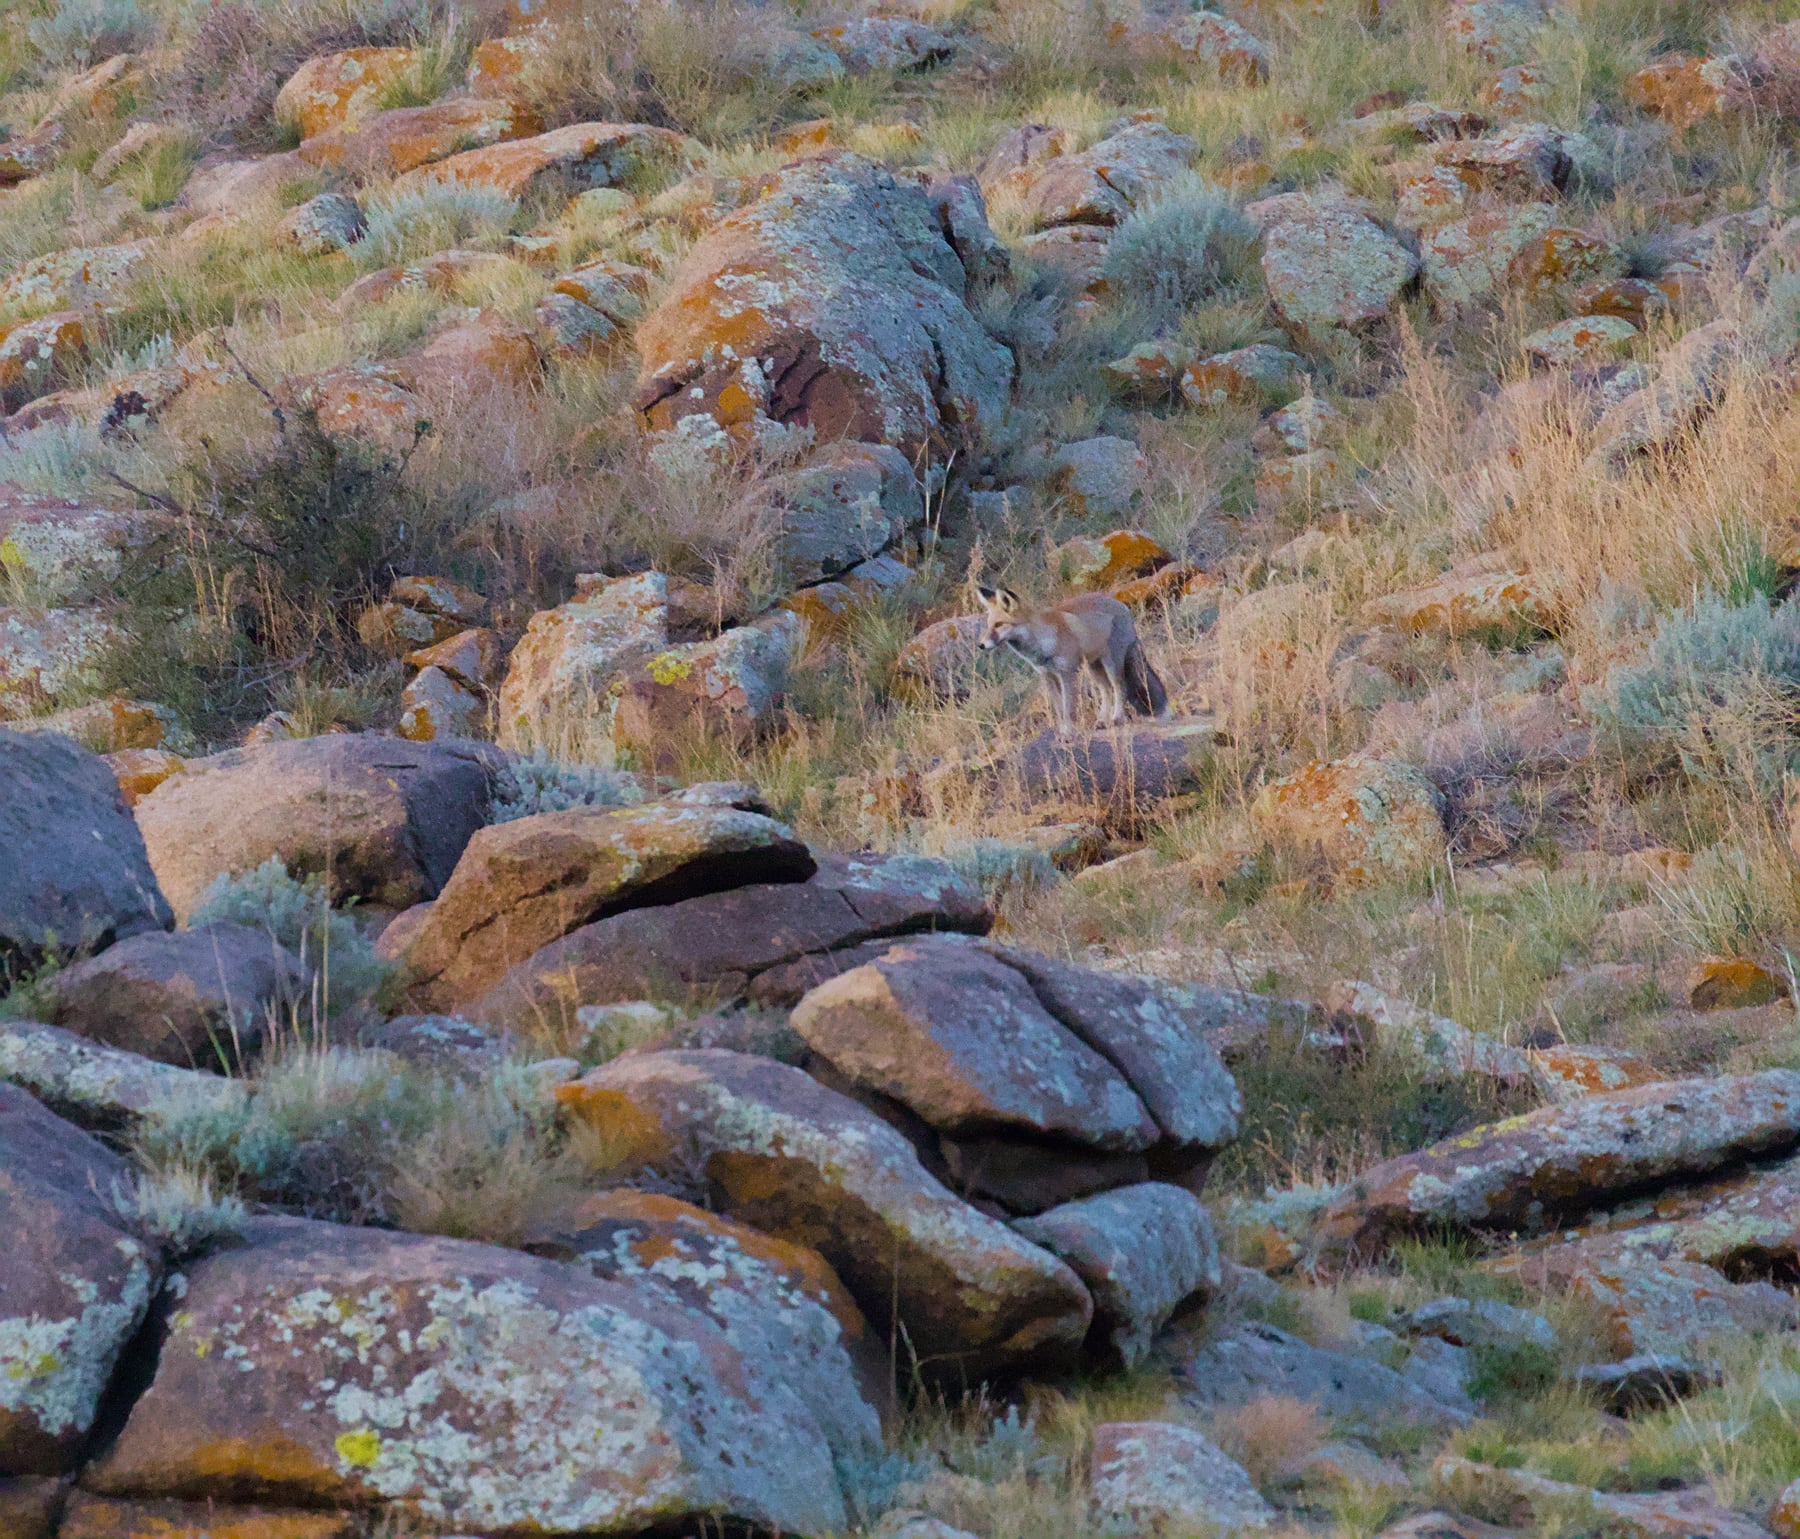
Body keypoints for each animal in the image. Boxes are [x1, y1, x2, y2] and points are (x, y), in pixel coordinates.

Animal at [975, 585, 1169, 734]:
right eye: (989, 625)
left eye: (999, 625)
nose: (981, 645)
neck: (1042, 643)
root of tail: (1122, 605)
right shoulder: (1048, 676)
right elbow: (1060, 710)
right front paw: (1063, 732)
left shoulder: (1067, 672)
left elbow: (1068, 708)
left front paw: (1068, 733)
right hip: (1094, 667)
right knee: (1106, 690)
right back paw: (1102, 721)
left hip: (1111, 663)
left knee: (1119, 687)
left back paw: (1117, 718)